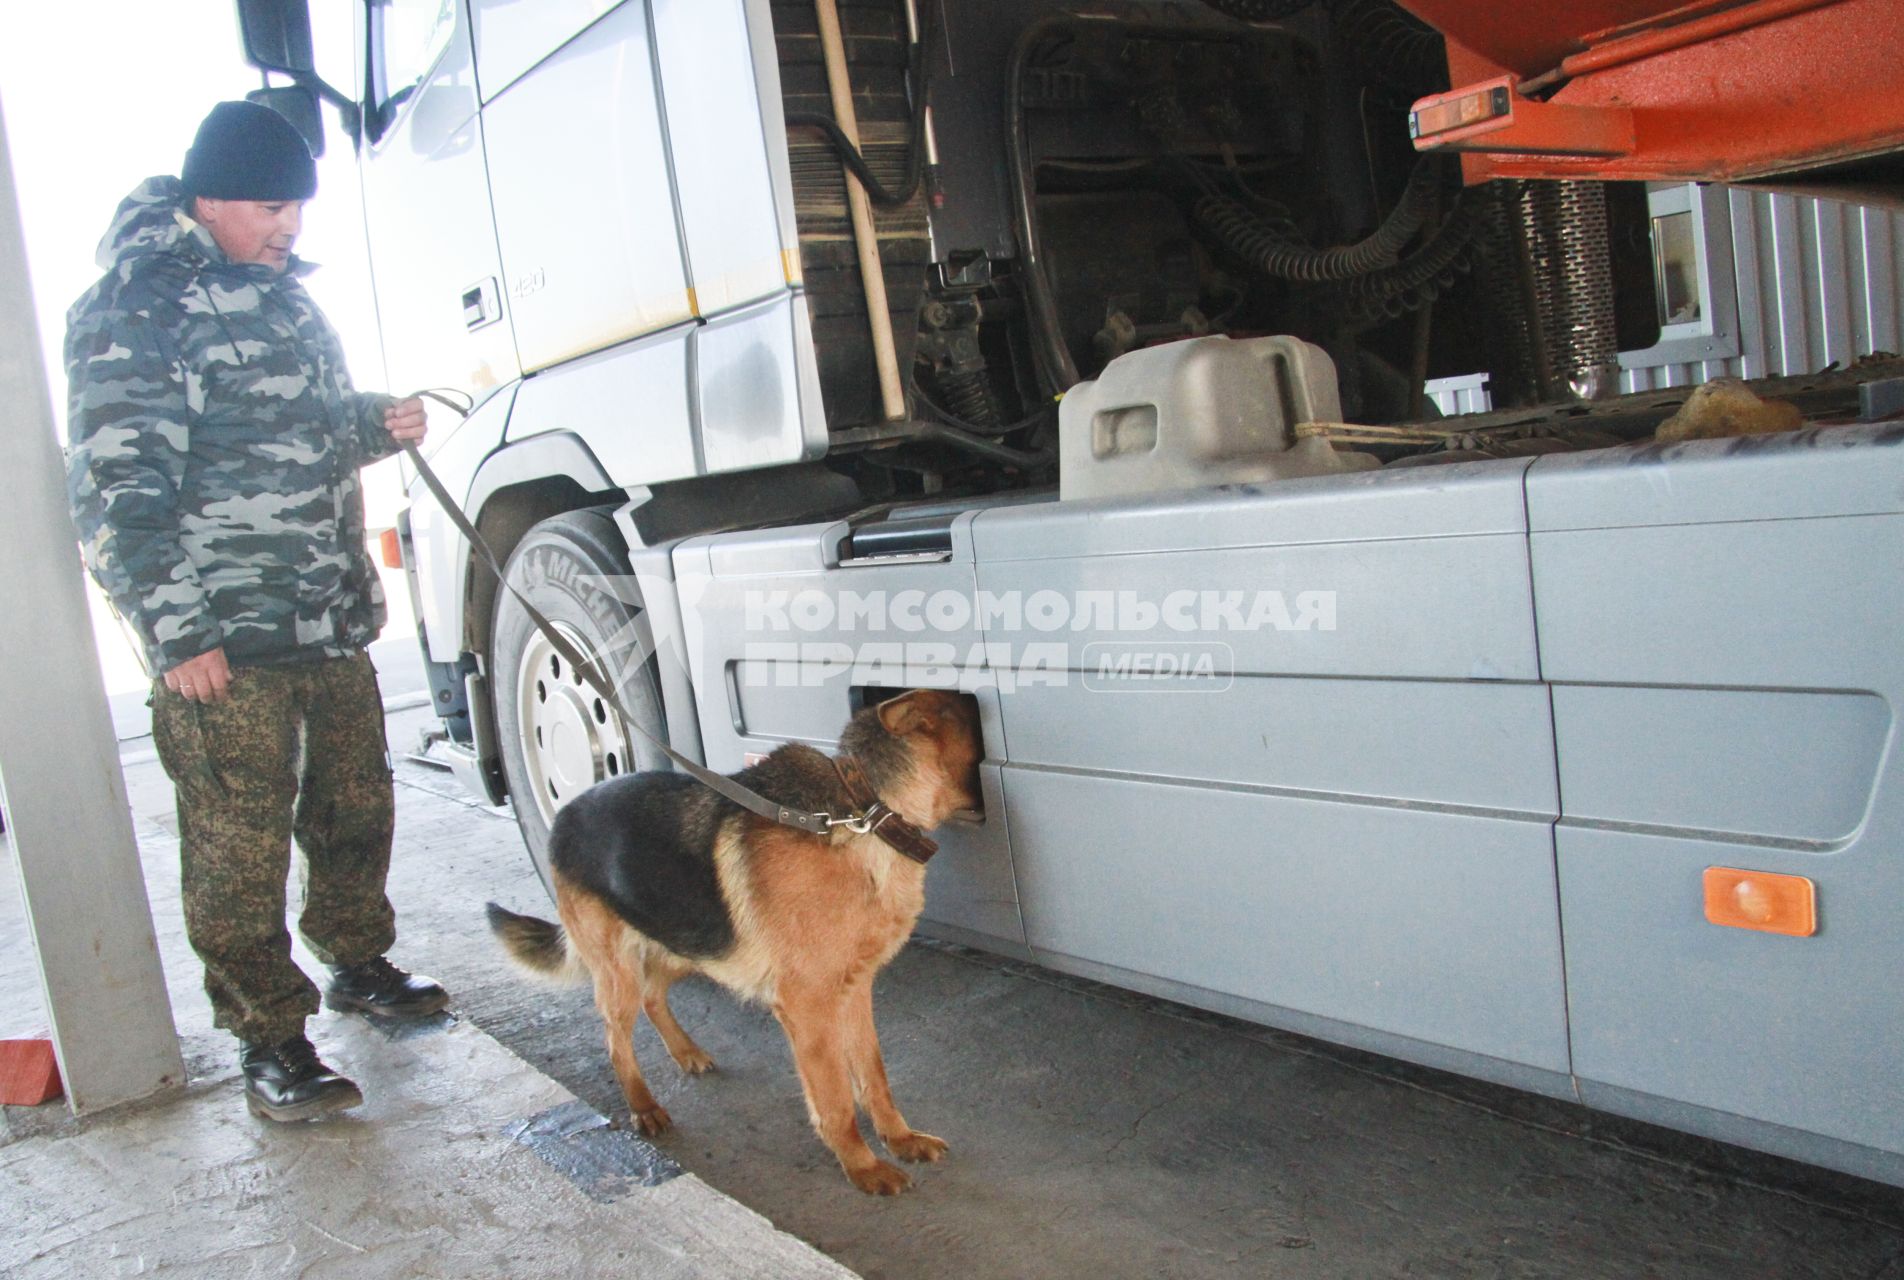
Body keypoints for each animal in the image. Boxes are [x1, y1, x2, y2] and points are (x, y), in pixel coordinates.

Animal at [483, 685, 982, 1196]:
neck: (867, 814)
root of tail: (565, 812)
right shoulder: (808, 1007)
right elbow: (837, 1101)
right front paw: (862, 1167)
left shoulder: (855, 990)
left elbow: (874, 1076)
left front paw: (900, 1139)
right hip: (621, 970)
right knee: (615, 1036)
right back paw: (643, 1105)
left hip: (690, 942)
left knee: (653, 993)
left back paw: (686, 1053)